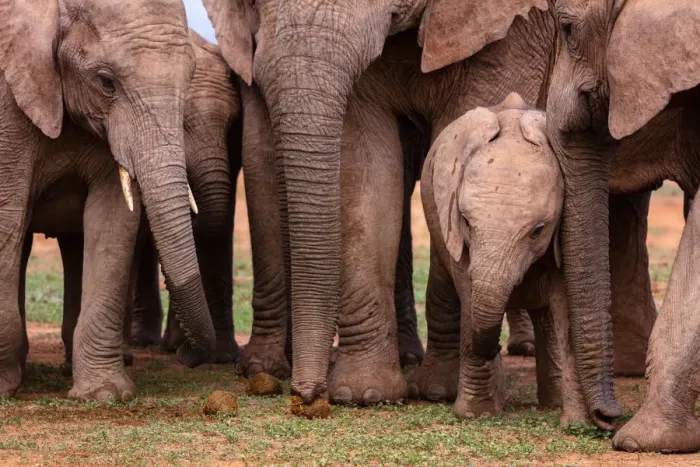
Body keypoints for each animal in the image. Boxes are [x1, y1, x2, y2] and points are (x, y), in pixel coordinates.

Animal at [0, 0, 216, 401]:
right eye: (105, 81)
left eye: (190, 79)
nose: (186, 355)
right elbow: (7, 214)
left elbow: (113, 223)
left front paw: (104, 395)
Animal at [418, 95, 588, 422]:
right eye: (466, 222)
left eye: (537, 231)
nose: (497, 349)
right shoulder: (453, 227)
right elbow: (468, 290)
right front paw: (476, 413)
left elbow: (563, 299)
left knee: (545, 317)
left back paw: (552, 403)